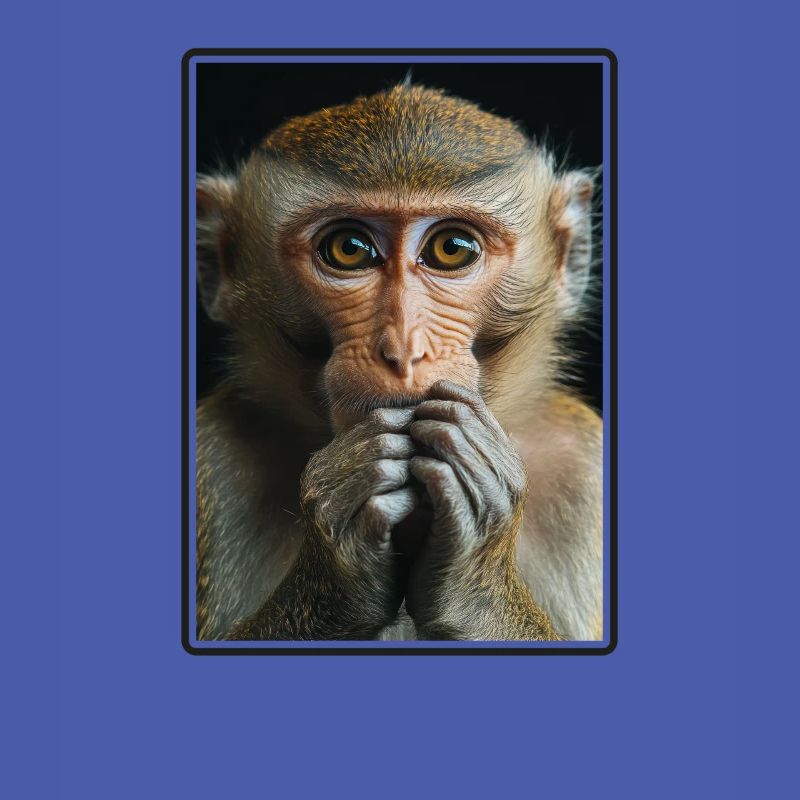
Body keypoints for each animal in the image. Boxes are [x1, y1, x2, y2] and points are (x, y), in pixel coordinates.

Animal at [195, 82, 602, 642]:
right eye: (349, 249)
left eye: (452, 248)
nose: (403, 349)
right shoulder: (213, 454)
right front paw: (340, 559)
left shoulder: (586, 467)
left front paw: (475, 579)